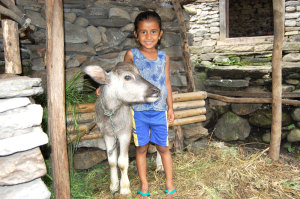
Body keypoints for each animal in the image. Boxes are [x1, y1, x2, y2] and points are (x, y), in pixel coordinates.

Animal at [82, 61, 159, 194]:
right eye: (127, 77)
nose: (156, 90)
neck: (111, 116)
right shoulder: (107, 135)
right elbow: (112, 162)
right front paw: (113, 186)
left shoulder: (125, 133)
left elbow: (122, 163)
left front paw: (124, 188)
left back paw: (160, 166)